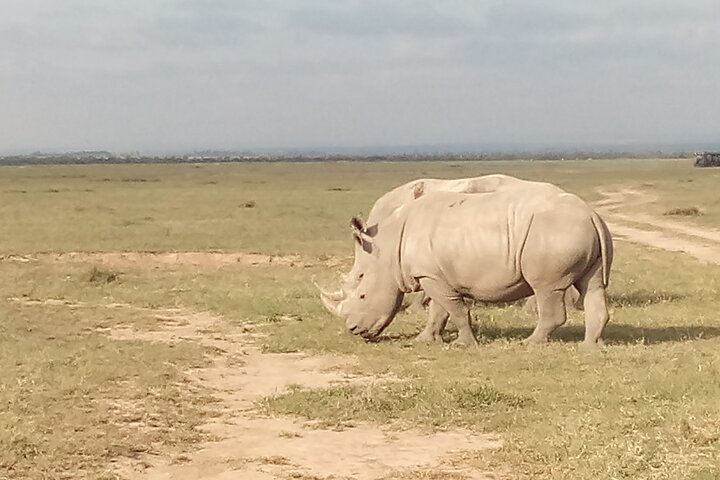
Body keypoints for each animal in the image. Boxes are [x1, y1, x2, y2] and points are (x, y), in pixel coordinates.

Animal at [320, 188, 613, 347]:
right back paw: (591, 347)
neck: (389, 251)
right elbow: (439, 311)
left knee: (546, 289)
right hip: (579, 232)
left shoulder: (431, 275)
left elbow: (455, 310)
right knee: (592, 285)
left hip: (552, 234)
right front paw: (425, 340)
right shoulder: (435, 275)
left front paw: (465, 344)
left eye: (362, 295)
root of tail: (592, 214)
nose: (353, 330)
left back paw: (530, 343)